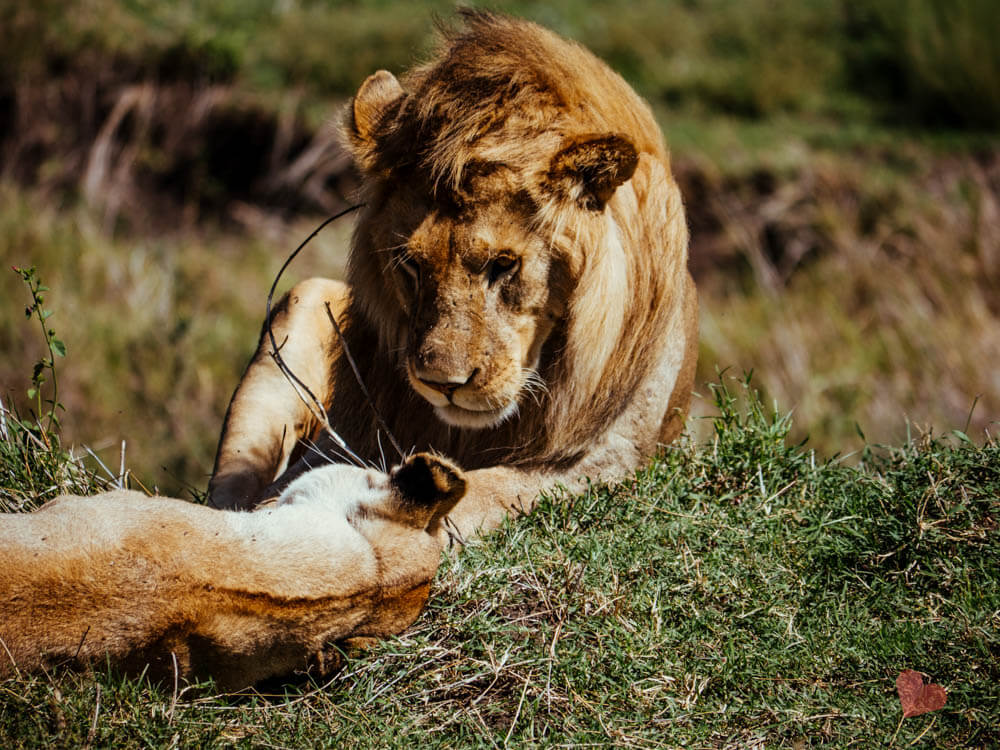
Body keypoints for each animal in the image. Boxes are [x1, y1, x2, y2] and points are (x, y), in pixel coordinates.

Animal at [208, 10, 700, 540]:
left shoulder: (608, 459)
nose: (442, 383)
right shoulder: (347, 433)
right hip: (301, 300)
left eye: (504, 264)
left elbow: (489, 490)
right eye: (411, 264)